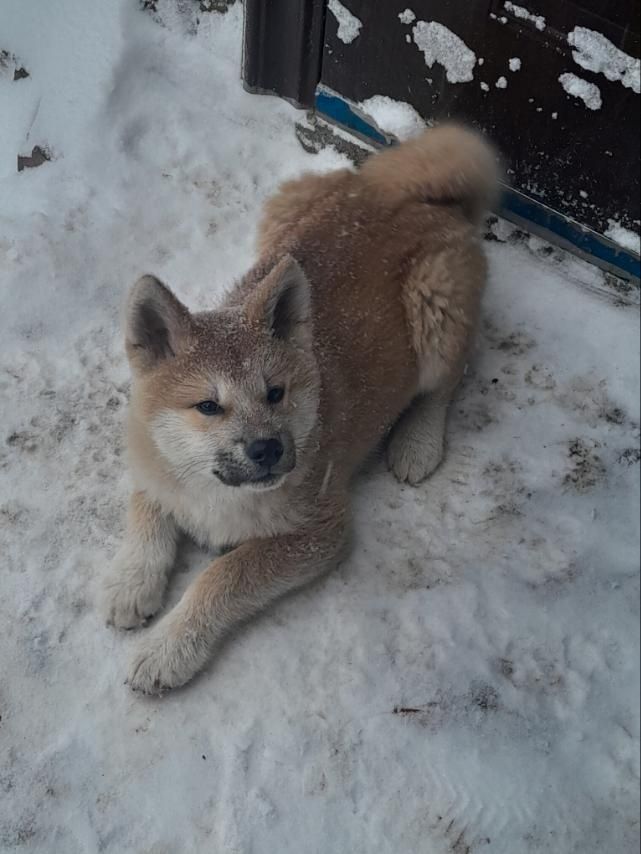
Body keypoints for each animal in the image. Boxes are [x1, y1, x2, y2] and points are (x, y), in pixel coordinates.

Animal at [101, 122, 500, 696]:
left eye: (275, 393)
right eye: (207, 406)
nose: (268, 450)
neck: (215, 491)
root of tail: (408, 194)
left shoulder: (319, 530)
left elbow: (222, 575)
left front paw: (168, 648)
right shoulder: (152, 455)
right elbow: (146, 512)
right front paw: (131, 580)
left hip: (437, 306)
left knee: (447, 381)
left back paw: (418, 442)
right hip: (280, 217)